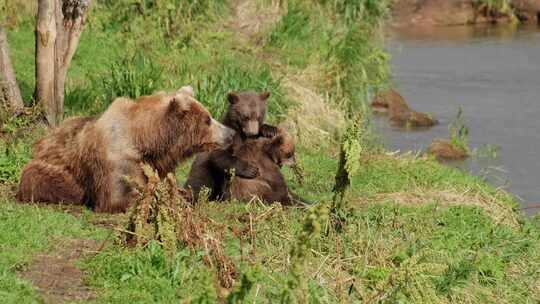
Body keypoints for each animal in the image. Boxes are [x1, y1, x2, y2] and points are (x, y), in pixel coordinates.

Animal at [16, 86, 234, 213]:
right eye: (208, 119)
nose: (230, 133)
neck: (146, 140)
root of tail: (42, 141)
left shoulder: (158, 165)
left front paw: (187, 195)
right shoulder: (117, 160)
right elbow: (120, 196)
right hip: (48, 169)